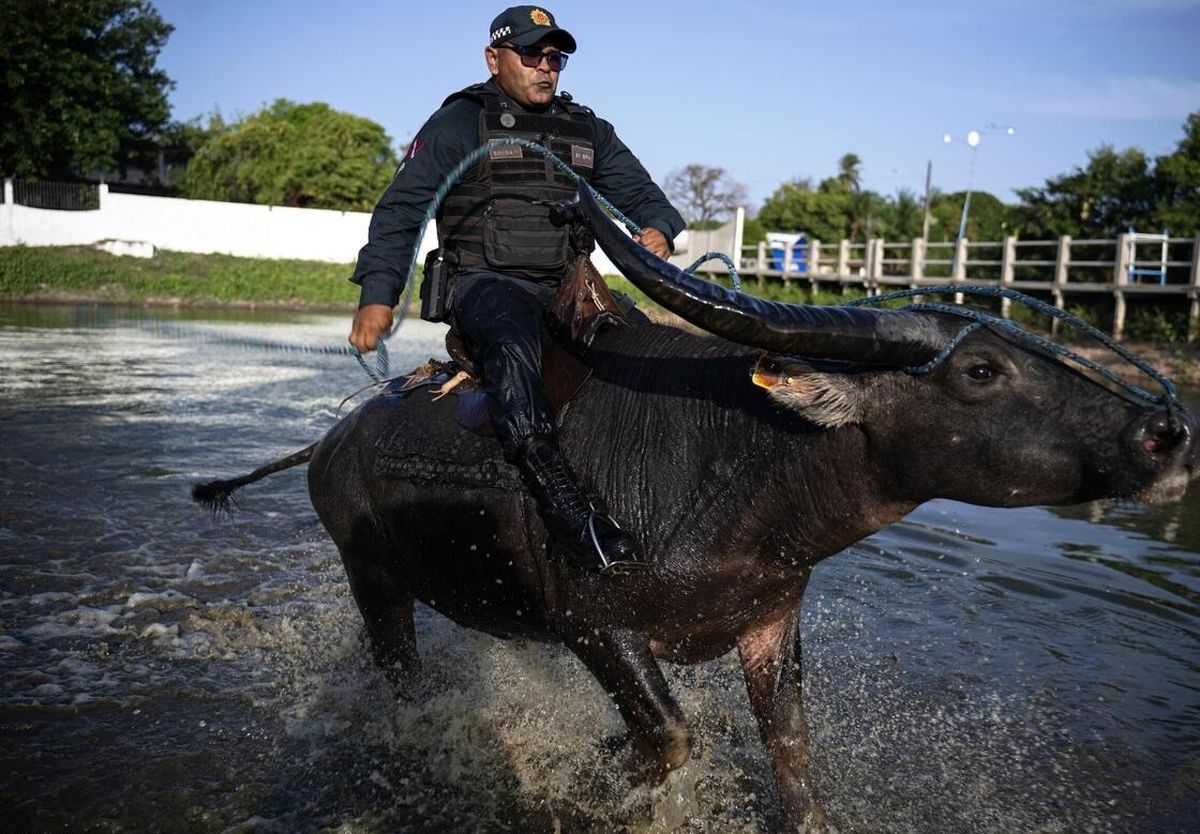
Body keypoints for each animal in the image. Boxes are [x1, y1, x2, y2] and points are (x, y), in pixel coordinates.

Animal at [194, 186, 1190, 830]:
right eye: (982, 371)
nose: (1164, 431)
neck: (737, 471)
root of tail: (333, 439)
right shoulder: (596, 623)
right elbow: (670, 735)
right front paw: (599, 764)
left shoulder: (770, 625)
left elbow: (792, 754)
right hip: (371, 577)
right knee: (400, 676)